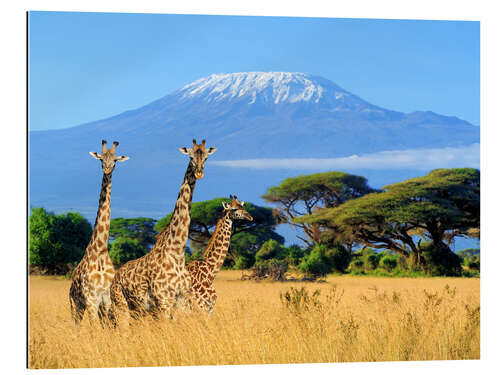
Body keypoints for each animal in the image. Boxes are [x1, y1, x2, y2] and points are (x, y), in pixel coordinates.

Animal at [69, 141, 130, 326]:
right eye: (101, 159)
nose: (107, 169)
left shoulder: (107, 299)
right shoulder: (91, 300)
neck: (101, 250)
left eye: (115, 161)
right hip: (75, 304)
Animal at [110, 138, 216, 326]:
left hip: (138, 309)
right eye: (190, 157)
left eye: (206, 158)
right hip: (121, 304)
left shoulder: (181, 300)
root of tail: (115, 277)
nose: (199, 173)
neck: (177, 252)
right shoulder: (163, 301)